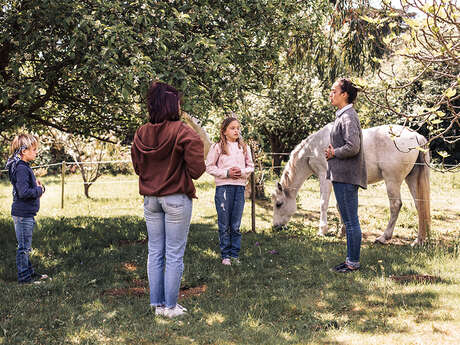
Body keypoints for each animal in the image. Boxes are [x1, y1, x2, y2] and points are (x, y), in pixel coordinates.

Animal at [272, 123, 430, 245]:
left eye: (279, 204)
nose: (275, 227)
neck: (314, 149)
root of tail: (416, 136)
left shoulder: (325, 178)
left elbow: (323, 203)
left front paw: (322, 230)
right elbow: (340, 205)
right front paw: (343, 231)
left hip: (392, 181)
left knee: (396, 205)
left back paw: (383, 237)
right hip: (411, 179)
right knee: (420, 206)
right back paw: (419, 240)